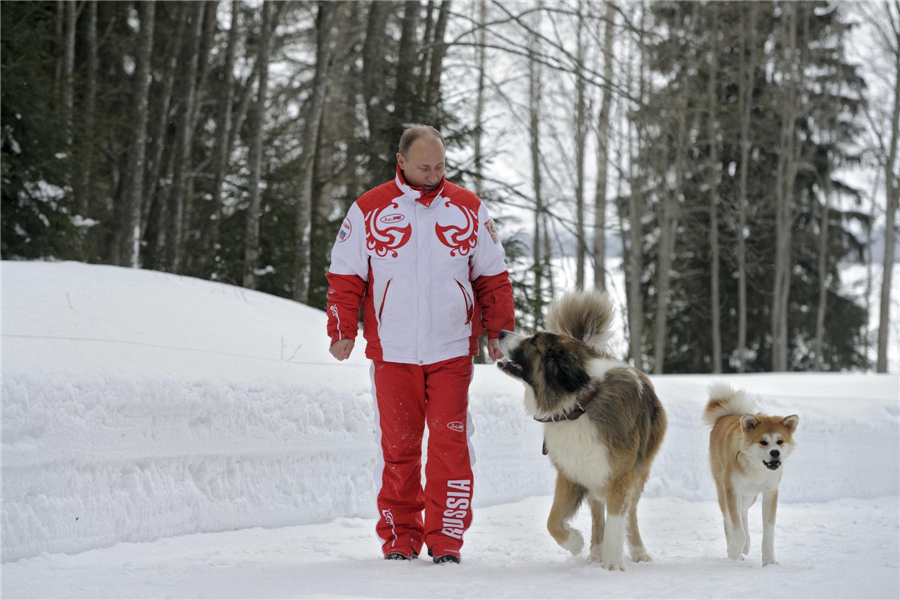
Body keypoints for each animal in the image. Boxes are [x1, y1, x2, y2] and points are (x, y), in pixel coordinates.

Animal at [496, 290, 664, 572]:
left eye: (534, 341)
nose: (499, 332)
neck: (579, 404)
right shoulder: (570, 472)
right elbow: (553, 519)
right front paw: (574, 543)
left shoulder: (620, 475)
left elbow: (618, 519)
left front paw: (613, 563)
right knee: (597, 509)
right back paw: (595, 551)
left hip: (638, 469)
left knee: (630, 513)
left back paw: (637, 551)